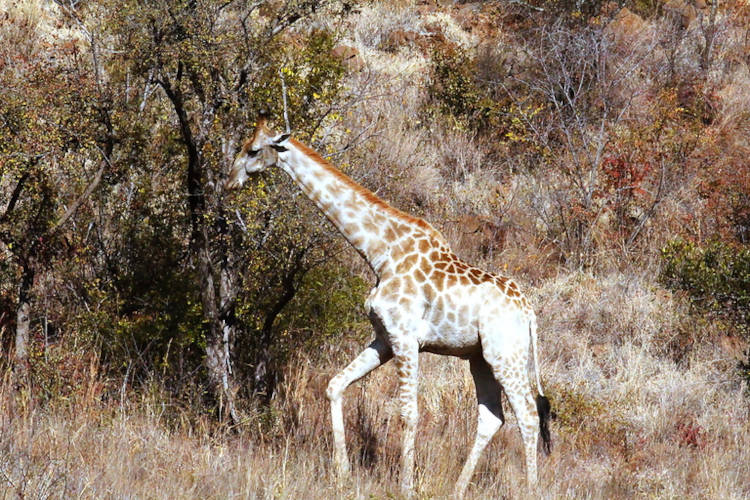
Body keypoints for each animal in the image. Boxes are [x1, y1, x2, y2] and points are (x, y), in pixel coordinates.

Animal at [225, 115, 552, 498]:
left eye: (252, 150)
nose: (229, 182)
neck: (379, 252)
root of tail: (528, 312)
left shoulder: (406, 338)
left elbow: (408, 413)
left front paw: (405, 486)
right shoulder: (384, 338)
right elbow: (335, 385)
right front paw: (342, 474)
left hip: (506, 354)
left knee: (527, 415)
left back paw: (531, 489)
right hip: (480, 358)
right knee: (491, 417)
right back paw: (457, 488)